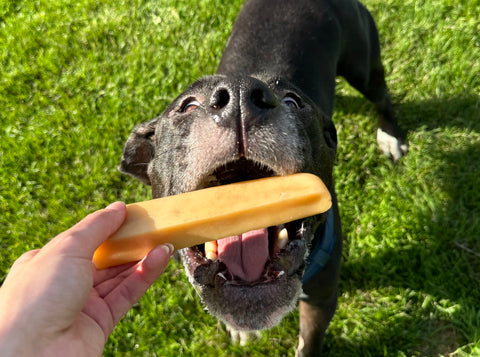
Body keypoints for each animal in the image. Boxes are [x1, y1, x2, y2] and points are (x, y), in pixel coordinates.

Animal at [119, 0, 404, 354]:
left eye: (294, 102)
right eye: (188, 105)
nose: (239, 97)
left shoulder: (322, 299)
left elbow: (308, 344)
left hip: (363, 65)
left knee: (382, 95)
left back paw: (391, 136)